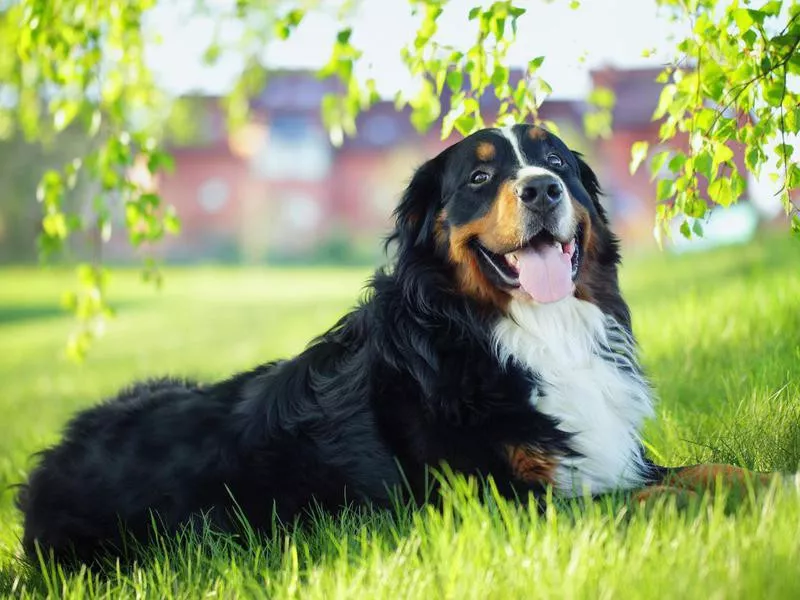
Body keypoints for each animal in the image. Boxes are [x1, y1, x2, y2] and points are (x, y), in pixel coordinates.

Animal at [15, 123, 772, 564]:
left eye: (554, 159)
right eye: (480, 176)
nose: (543, 189)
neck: (521, 333)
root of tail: (46, 467)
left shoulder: (611, 453)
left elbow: (711, 471)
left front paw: (768, 483)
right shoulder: (498, 503)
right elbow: (647, 501)